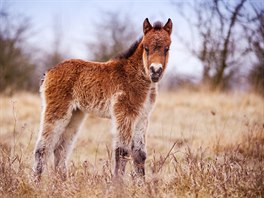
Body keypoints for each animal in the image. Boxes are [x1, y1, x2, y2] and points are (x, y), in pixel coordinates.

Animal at [33, 17, 173, 180]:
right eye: (146, 48)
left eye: (167, 48)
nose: (155, 71)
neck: (134, 75)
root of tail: (49, 71)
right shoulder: (125, 114)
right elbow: (122, 151)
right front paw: (117, 184)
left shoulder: (142, 117)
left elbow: (140, 154)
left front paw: (141, 185)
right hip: (57, 112)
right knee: (42, 148)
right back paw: (35, 182)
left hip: (75, 115)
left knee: (60, 149)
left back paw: (62, 183)